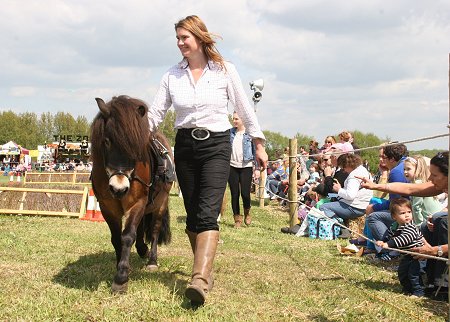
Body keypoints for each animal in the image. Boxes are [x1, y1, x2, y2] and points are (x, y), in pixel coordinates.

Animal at [89, 95, 172, 294]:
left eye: (135, 146)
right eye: (107, 141)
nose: (118, 188)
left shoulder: (138, 202)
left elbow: (127, 236)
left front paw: (121, 278)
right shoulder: (108, 207)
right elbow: (116, 238)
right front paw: (120, 265)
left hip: (160, 203)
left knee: (154, 230)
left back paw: (152, 260)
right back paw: (142, 249)